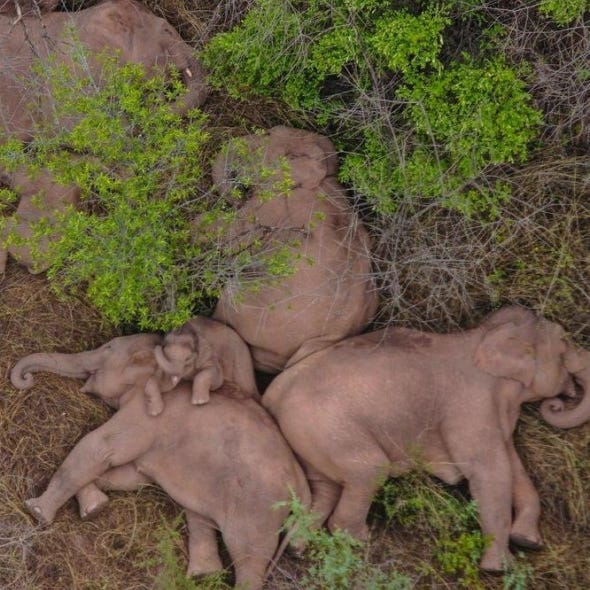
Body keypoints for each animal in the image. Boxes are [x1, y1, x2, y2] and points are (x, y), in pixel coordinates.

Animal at [12, 338, 310, 590]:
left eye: (108, 348)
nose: (26, 379)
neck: (161, 365)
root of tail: (302, 486)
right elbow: (129, 476)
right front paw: (94, 508)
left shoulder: (146, 415)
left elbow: (101, 447)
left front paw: (37, 511)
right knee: (199, 515)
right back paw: (203, 575)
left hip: (258, 509)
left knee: (249, 556)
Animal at [264, 308, 590, 576]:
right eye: (565, 342)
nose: (557, 403)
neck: (483, 334)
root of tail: (273, 393)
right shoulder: (471, 406)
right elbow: (489, 470)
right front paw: (500, 569)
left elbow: (514, 467)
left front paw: (527, 541)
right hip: (325, 425)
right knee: (369, 471)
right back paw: (361, 544)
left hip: (310, 436)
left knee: (325, 487)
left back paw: (299, 548)